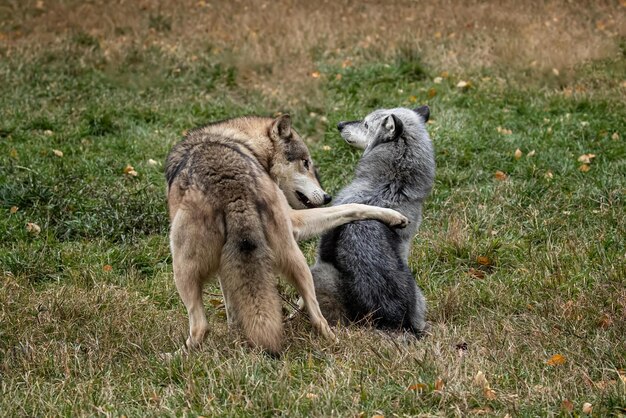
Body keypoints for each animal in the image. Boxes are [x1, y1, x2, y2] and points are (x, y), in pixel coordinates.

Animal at [163, 113, 408, 352]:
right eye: (306, 163)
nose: (327, 196)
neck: (242, 141)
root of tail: (231, 188)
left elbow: (350, 206)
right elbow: (351, 206)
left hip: (183, 268)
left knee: (201, 326)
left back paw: (173, 356)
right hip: (293, 261)